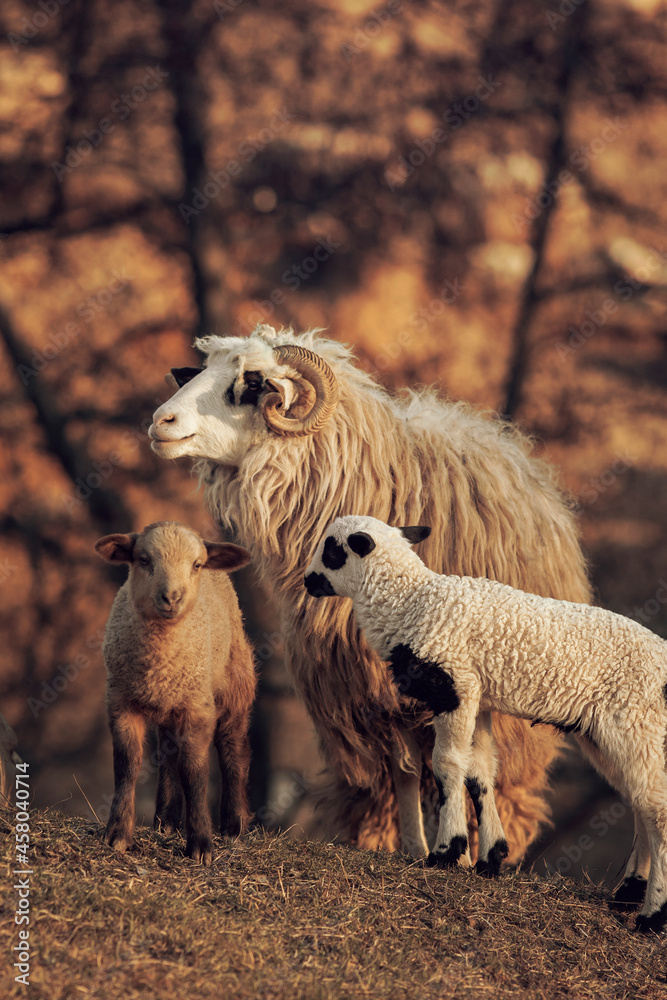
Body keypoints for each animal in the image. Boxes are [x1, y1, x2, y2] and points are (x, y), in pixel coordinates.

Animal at [94, 521, 256, 864]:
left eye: (196, 565)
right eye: (143, 560)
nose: (171, 597)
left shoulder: (198, 708)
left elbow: (194, 771)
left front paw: (201, 844)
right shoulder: (121, 702)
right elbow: (127, 765)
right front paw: (118, 834)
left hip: (234, 684)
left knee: (232, 747)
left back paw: (234, 825)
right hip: (170, 704)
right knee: (168, 753)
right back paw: (166, 820)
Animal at [148, 324, 592, 863]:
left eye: (252, 383)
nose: (161, 421)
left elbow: (456, 765)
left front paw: (456, 852)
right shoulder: (365, 688)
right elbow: (402, 771)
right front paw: (415, 848)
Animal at [305, 514, 667, 933]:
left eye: (332, 549)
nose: (307, 580)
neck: (412, 603)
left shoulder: (456, 685)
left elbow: (446, 764)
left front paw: (446, 853)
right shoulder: (478, 698)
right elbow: (479, 771)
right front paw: (489, 858)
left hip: (633, 720)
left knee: (656, 808)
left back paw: (652, 916)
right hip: (615, 732)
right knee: (642, 802)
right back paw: (627, 895)